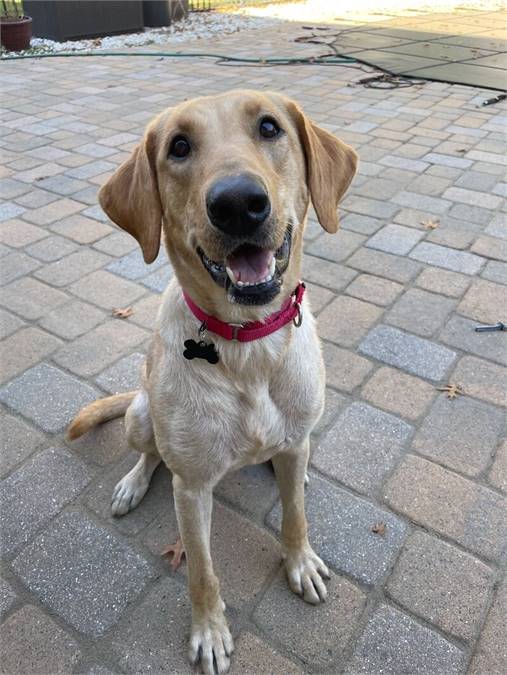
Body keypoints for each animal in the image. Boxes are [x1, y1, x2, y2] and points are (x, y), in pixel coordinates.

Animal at [69, 91, 358, 675]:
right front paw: (208, 630)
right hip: (140, 415)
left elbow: (295, 517)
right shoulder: (192, 487)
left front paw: (300, 561)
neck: (249, 347)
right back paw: (133, 482)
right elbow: (201, 571)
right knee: (150, 453)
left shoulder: (295, 441)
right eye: (179, 147)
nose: (238, 203)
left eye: (269, 127)